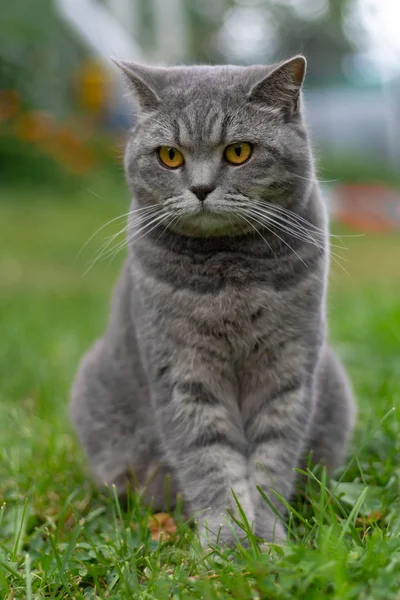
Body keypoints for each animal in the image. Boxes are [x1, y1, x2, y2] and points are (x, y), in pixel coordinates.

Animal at [70, 56, 354, 548]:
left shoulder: (287, 370)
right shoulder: (184, 372)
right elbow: (210, 461)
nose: (201, 188)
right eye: (170, 156)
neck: (229, 277)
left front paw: (268, 540)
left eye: (238, 152)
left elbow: (270, 462)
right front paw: (226, 543)